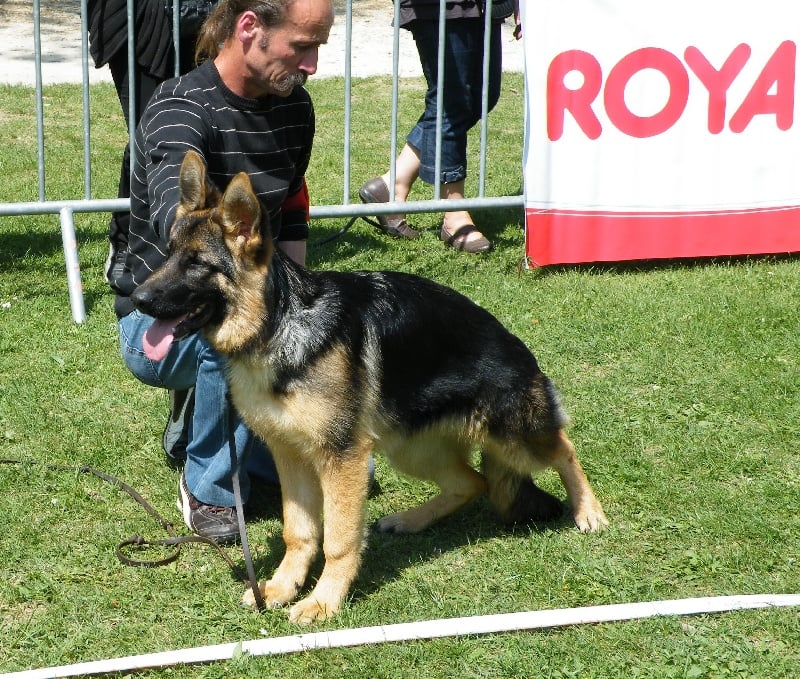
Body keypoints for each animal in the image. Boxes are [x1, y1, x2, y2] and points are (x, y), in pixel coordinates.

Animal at [130, 151, 608, 624]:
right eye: (168, 254)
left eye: (197, 264)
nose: (137, 299)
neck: (279, 326)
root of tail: (516, 345)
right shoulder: (291, 456)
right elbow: (298, 531)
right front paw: (282, 587)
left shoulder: (341, 461)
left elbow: (338, 540)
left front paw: (323, 601)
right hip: (410, 449)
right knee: (473, 482)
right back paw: (413, 520)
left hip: (511, 436)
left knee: (563, 448)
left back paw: (589, 512)